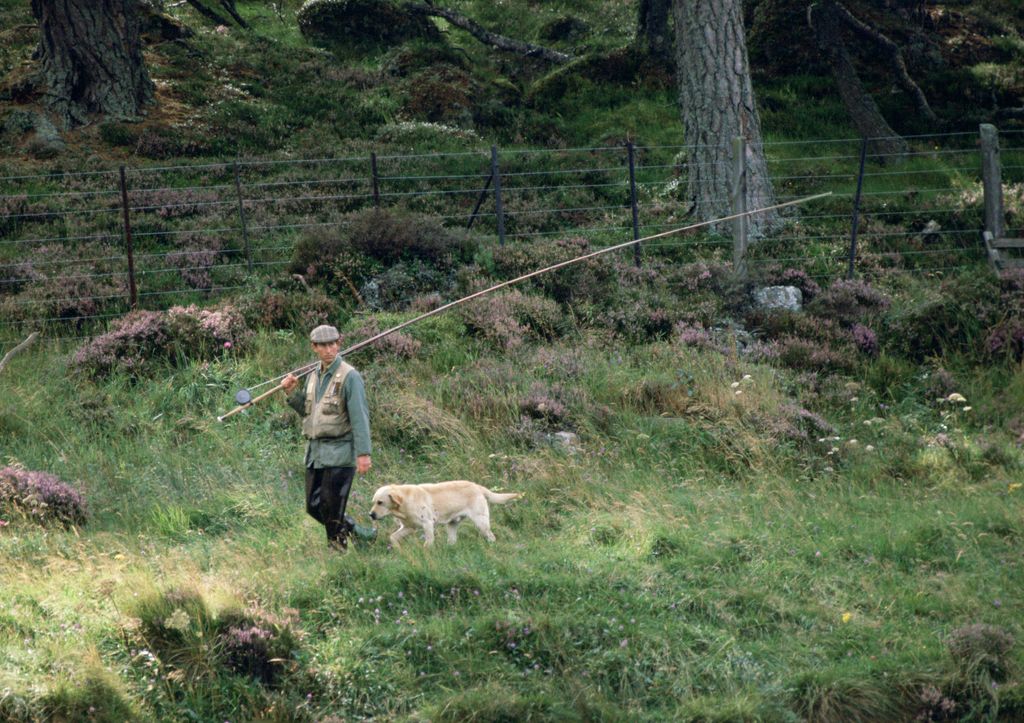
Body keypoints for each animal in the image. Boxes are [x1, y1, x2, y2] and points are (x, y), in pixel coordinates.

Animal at [370, 481, 520, 544]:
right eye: (373, 502)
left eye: (380, 502)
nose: (371, 515)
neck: (404, 503)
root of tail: (477, 486)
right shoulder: (408, 527)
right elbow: (393, 537)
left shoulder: (427, 524)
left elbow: (428, 542)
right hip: (452, 525)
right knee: (452, 540)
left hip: (481, 522)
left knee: (491, 536)